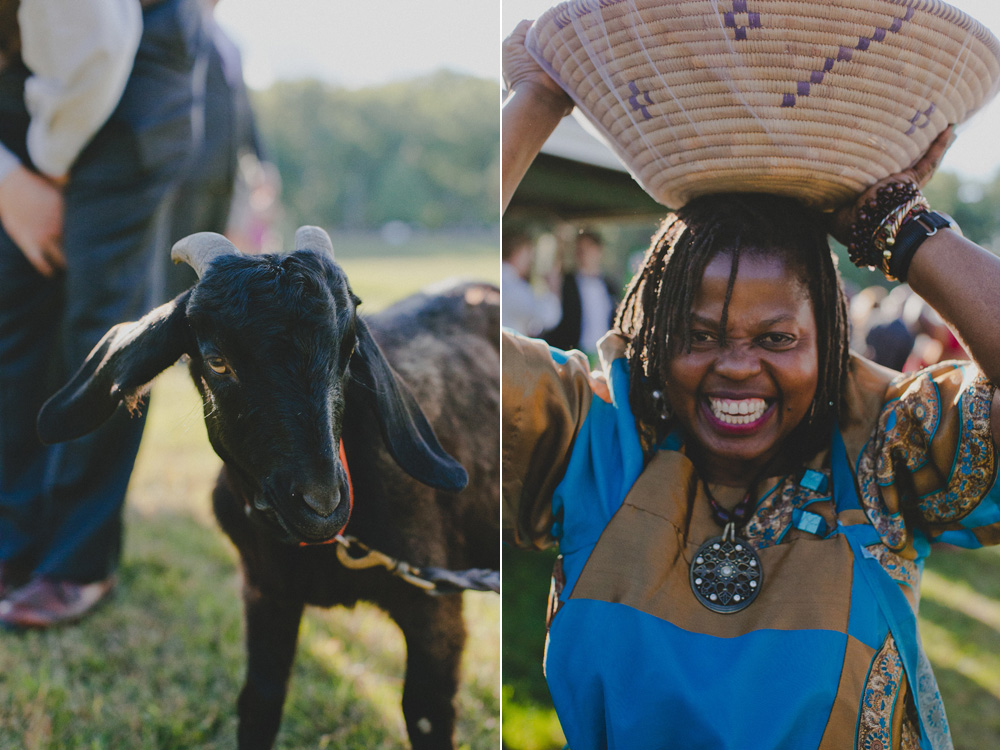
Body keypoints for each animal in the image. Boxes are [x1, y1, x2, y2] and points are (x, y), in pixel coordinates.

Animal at [37, 229, 500, 750]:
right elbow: (260, 700)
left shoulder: (434, 609)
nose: (321, 506)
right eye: (217, 361)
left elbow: (425, 715)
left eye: (348, 352)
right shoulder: (265, 592)